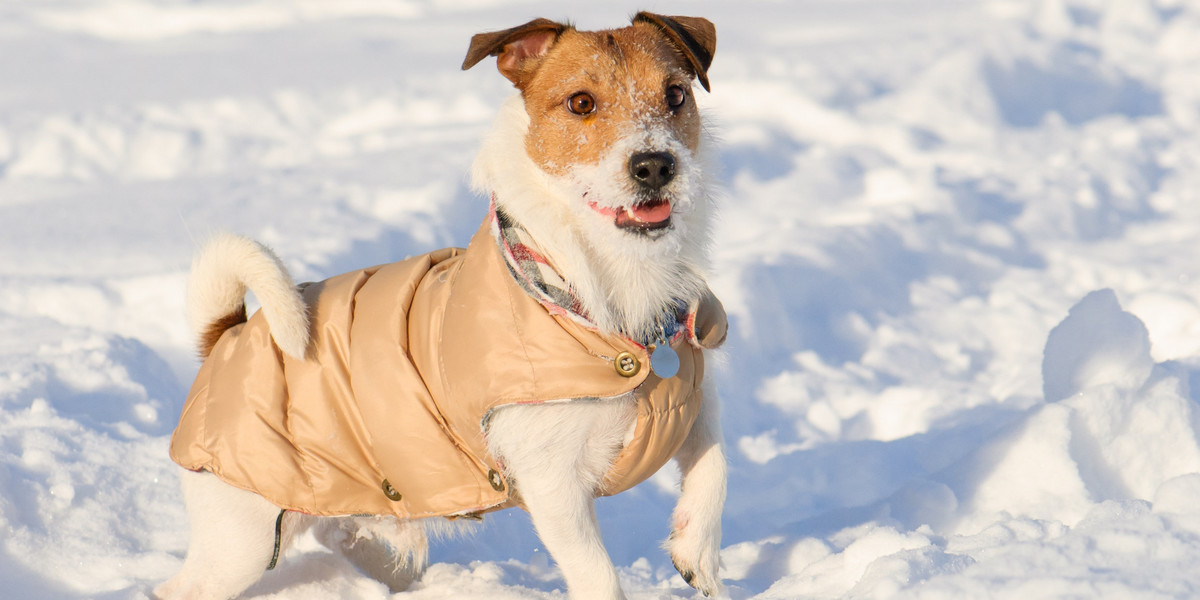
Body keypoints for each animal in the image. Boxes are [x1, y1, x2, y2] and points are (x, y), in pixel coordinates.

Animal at [154, 12, 724, 600]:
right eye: (581, 103)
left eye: (676, 94)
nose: (655, 165)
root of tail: (227, 334)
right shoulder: (552, 484)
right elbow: (597, 573)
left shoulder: (691, 403)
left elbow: (715, 466)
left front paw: (695, 551)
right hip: (241, 536)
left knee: (341, 533)